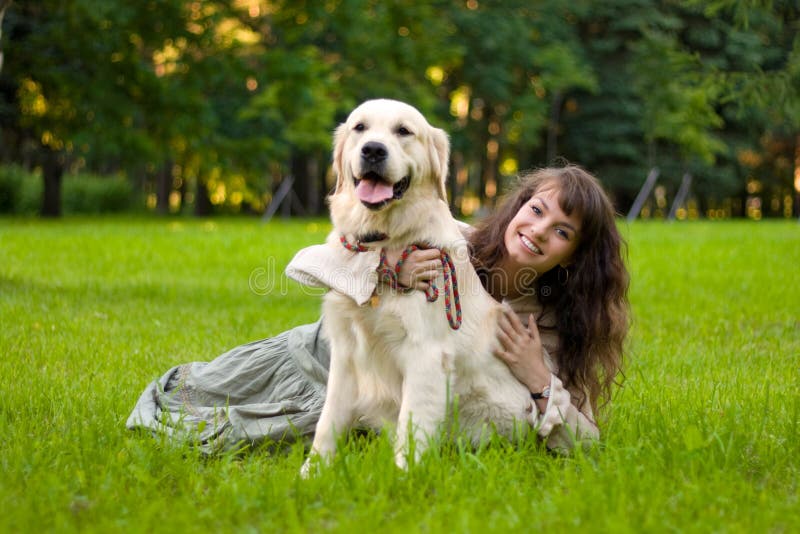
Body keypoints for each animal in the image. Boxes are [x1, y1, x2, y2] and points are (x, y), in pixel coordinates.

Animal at [304, 100, 536, 474]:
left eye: (403, 131)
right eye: (360, 128)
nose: (373, 150)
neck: (385, 240)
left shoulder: (426, 353)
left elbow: (412, 424)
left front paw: (403, 477)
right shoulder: (345, 352)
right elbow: (328, 421)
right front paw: (311, 474)